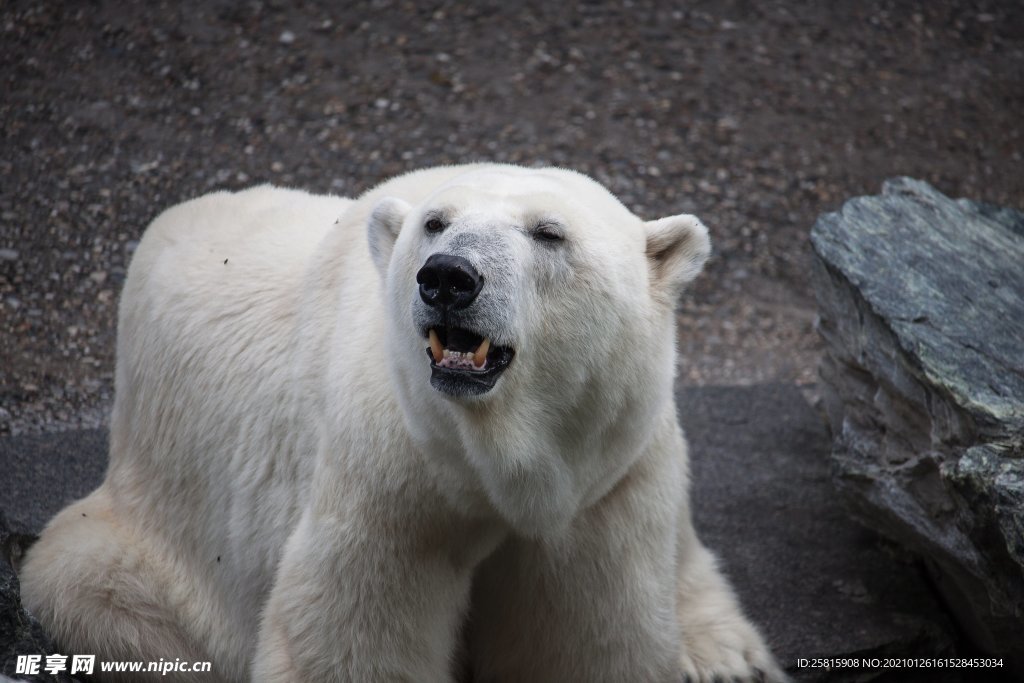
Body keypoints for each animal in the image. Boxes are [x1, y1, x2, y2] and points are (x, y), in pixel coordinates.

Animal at [19, 165, 782, 683]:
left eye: (549, 232)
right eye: (434, 223)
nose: (448, 277)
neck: (495, 465)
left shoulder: (604, 483)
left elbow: (588, 635)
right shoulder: (391, 475)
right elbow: (353, 635)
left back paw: (727, 653)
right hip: (152, 519)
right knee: (102, 591)